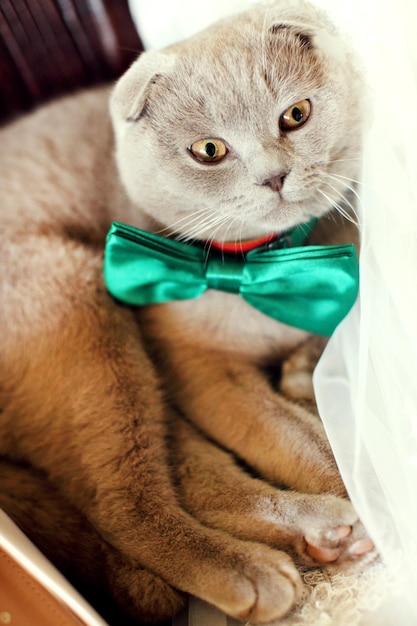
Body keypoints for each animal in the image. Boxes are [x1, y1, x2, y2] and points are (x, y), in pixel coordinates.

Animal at [0, 1, 370, 624]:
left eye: (295, 115)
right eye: (209, 151)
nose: (274, 176)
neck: (262, 265)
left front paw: (303, 372)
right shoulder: (200, 368)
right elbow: (298, 439)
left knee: (185, 476)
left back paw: (317, 535)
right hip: (84, 316)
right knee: (123, 506)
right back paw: (254, 570)